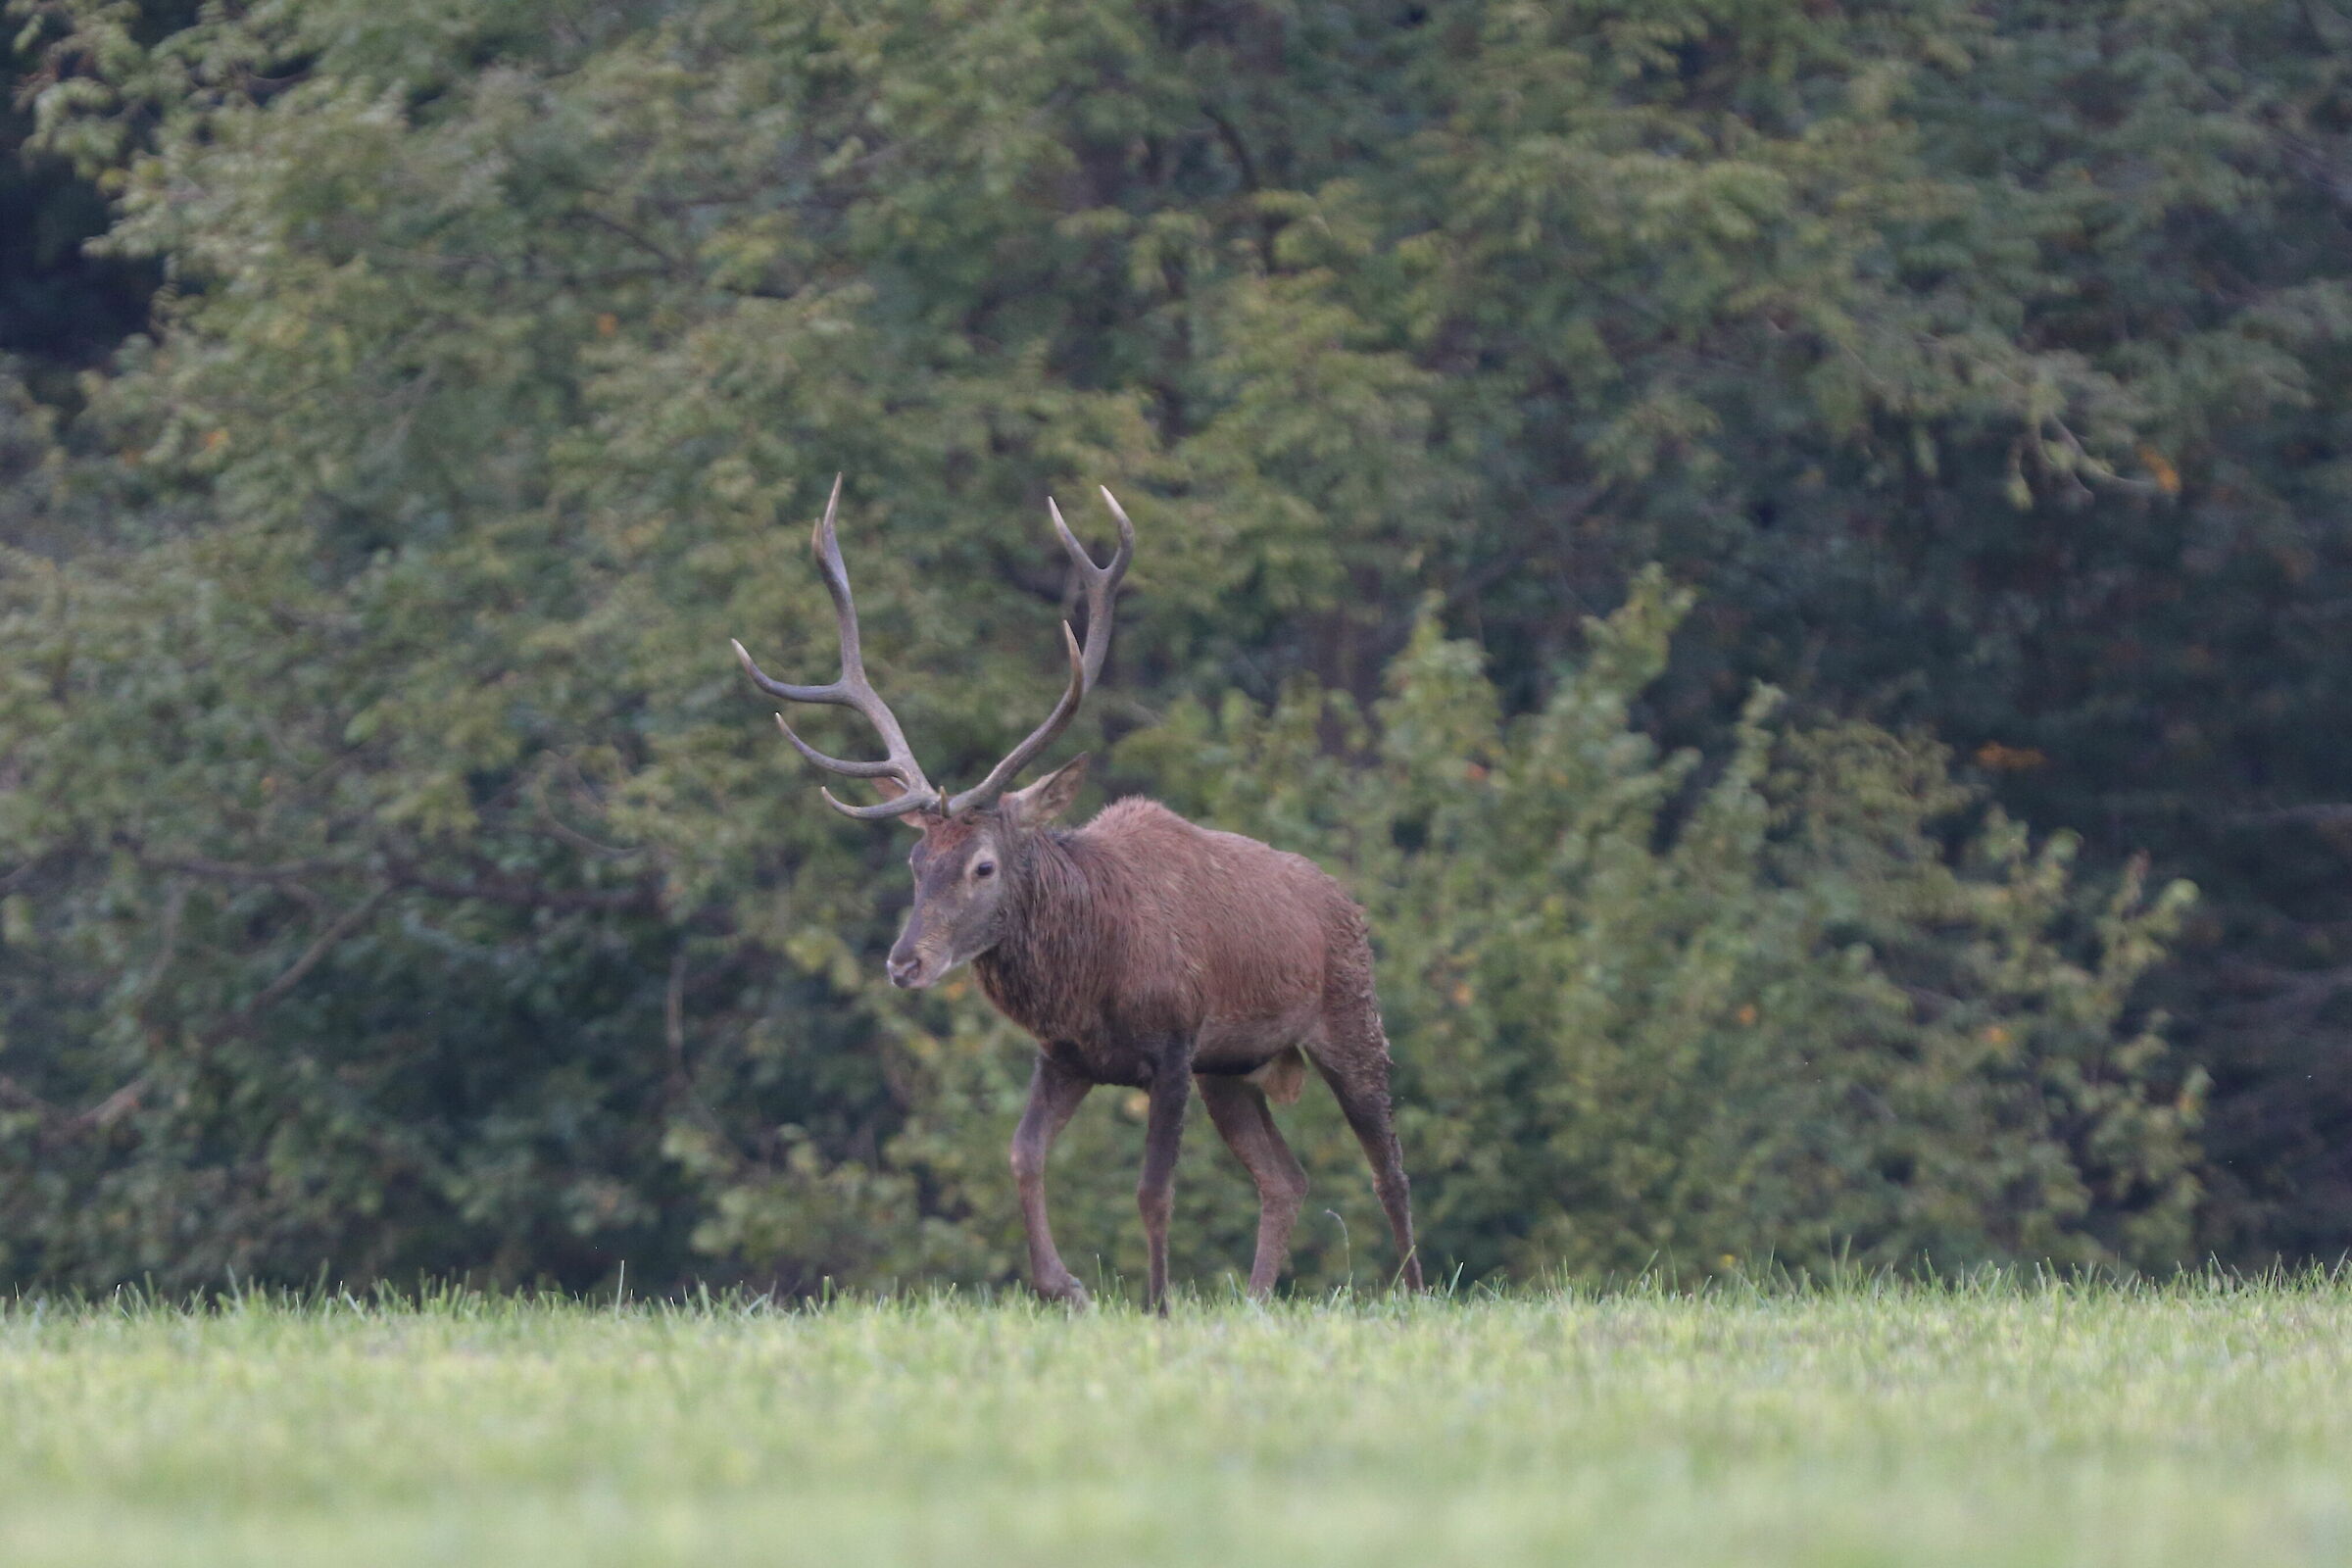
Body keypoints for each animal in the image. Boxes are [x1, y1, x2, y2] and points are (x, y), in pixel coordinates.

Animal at [731, 478, 1420, 1312]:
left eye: (983, 866)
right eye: (915, 860)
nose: (904, 963)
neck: (1093, 973)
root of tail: (1345, 902)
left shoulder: (1173, 1042)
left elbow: (1153, 1191)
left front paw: (1157, 1305)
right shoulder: (1067, 1056)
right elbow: (1022, 1155)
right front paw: (1065, 1287)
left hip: (1351, 1016)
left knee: (1389, 1167)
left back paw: (1416, 1293)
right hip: (1232, 1070)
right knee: (1286, 1179)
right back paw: (1257, 1300)